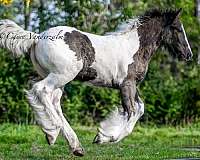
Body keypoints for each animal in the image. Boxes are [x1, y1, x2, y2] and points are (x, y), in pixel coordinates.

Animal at [0, 8, 194, 156]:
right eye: (177, 28)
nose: (189, 55)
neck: (135, 47)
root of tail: (37, 36)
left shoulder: (131, 85)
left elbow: (140, 109)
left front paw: (103, 135)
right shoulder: (127, 84)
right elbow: (131, 112)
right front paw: (104, 137)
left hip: (58, 79)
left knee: (52, 101)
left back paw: (70, 144)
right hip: (61, 75)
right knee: (41, 90)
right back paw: (55, 133)